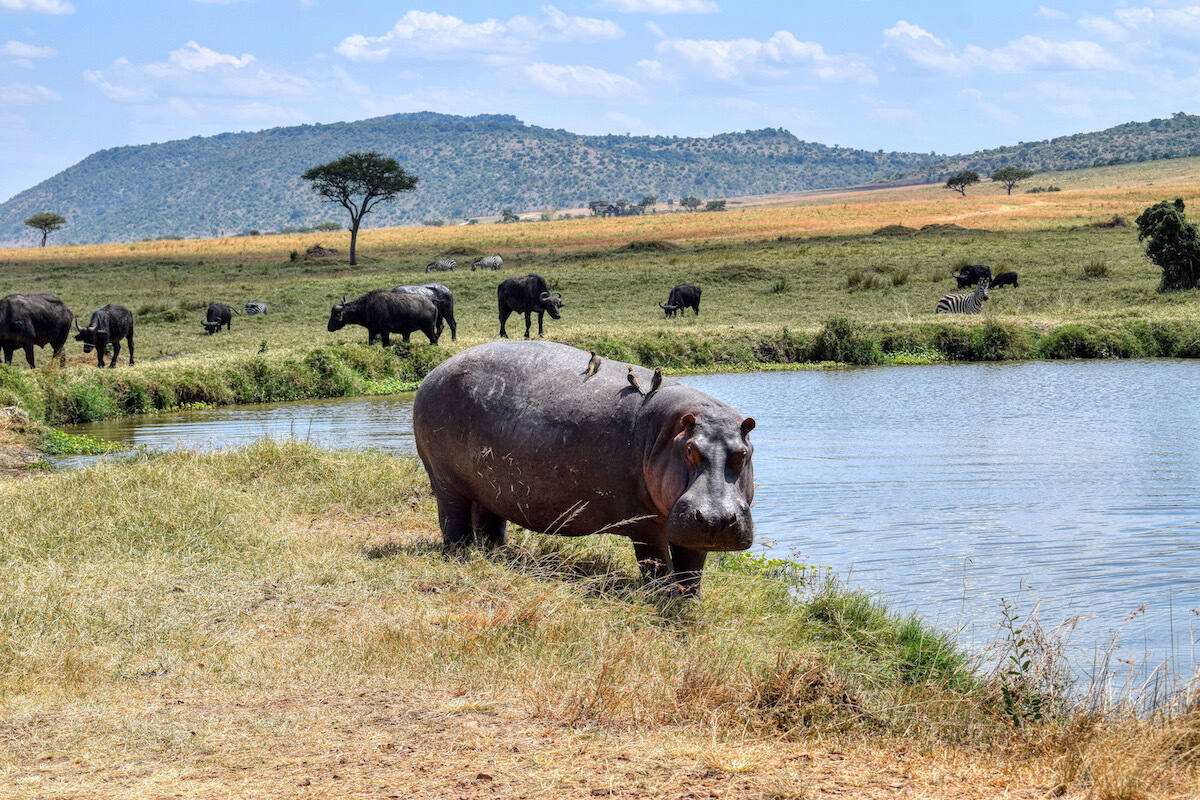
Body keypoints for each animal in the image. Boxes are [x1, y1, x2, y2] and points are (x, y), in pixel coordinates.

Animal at [412, 341, 756, 594]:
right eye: (689, 450)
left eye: (743, 454)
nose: (716, 518)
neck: (667, 433)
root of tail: (433, 373)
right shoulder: (645, 523)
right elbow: (656, 564)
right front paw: (664, 597)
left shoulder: (687, 526)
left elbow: (692, 569)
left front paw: (688, 600)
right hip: (445, 480)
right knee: (453, 520)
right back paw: (461, 553)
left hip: (489, 487)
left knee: (489, 521)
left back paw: (497, 552)